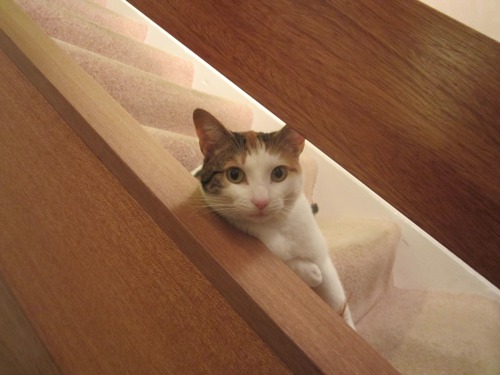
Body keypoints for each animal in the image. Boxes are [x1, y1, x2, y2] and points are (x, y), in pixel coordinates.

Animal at [191, 108, 356, 328]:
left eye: (278, 173)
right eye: (234, 175)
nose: (261, 201)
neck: (278, 226)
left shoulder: (320, 255)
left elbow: (338, 302)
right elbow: (294, 266)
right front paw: (310, 273)